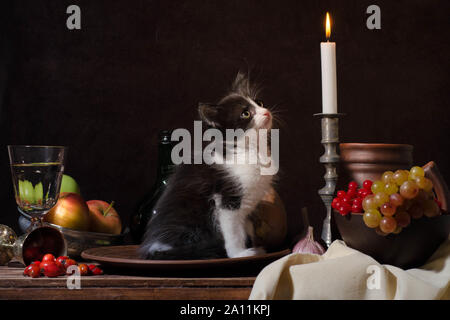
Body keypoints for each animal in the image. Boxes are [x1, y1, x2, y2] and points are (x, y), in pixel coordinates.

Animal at [139, 73, 276, 260]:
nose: (266, 112)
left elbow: (245, 225)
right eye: (246, 113)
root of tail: (153, 246)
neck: (250, 149)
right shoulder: (226, 200)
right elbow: (233, 231)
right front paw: (239, 253)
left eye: (260, 103)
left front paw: (250, 245)